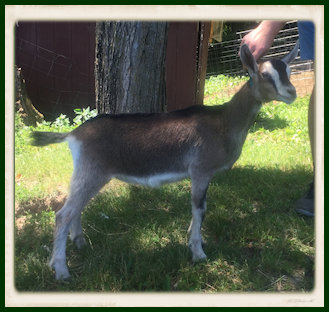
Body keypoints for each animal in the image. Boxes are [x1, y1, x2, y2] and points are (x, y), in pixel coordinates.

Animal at [30, 42, 298, 280]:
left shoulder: (205, 174)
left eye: (288, 71)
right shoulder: (200, 169)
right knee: (63, 214)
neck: (223, 122)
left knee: (74, 209)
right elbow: (199, 208)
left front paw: (194, 240)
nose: (292, 93)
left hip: (88, 174)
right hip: (92, 171)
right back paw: (61, 270)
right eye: (264, 74)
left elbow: (201, 210)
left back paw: (80, 244)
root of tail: (74, 134)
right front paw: (198, 253)